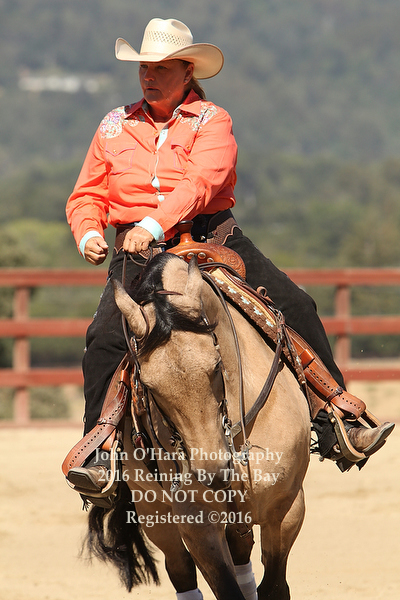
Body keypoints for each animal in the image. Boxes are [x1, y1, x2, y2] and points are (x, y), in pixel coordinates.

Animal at [85, 251, 310, 600]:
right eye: (148, 385)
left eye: (216, 365)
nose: (212, 472)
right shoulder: (197, 524)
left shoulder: (286, 508)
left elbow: (273, 586)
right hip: (155, 514)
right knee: (180, 569)